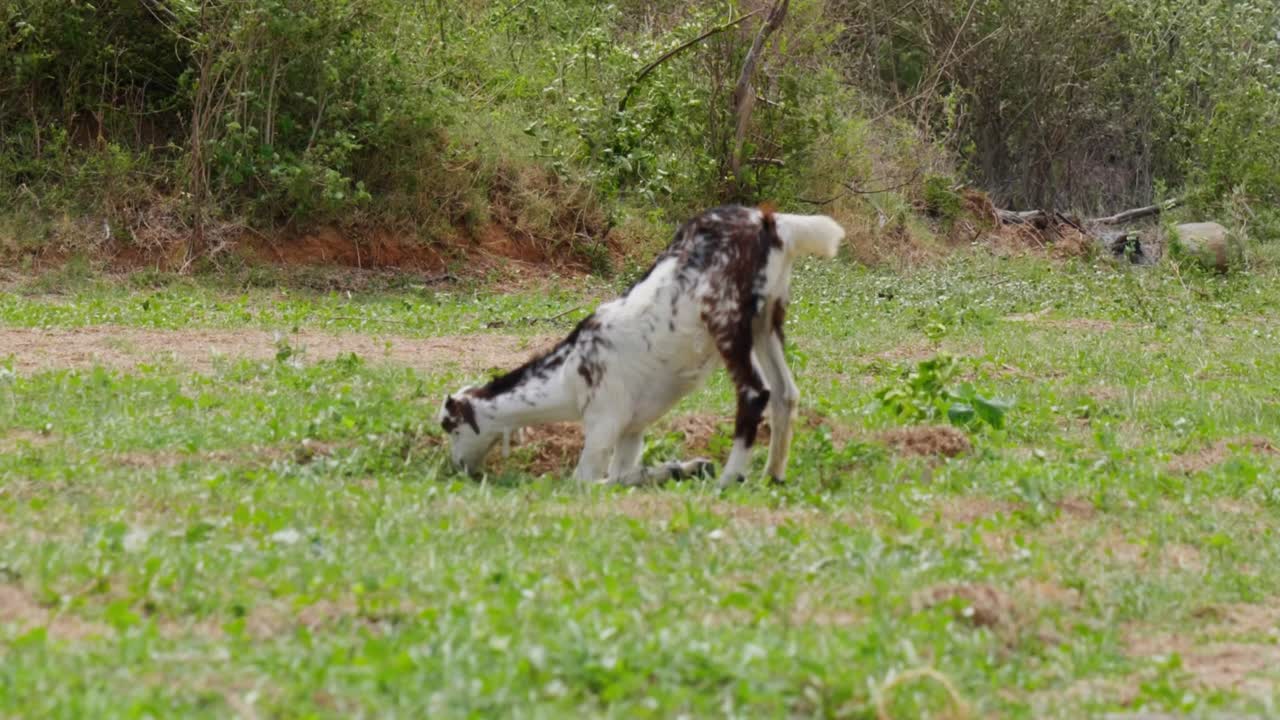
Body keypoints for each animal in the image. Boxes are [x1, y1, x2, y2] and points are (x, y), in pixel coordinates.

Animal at [439, 205, 845, 488]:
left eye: (450, 427)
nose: (457, 468)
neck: (568, 375)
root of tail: (771, 222)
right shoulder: (631, 432)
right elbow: (621, 475)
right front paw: (683, 468)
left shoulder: (603, 423)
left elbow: (590, 482)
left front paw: (686, 469)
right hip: (767, 319)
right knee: (785, 393)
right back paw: (772, 476)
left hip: (726, 318)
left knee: (755, 392)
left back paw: (729, 479)